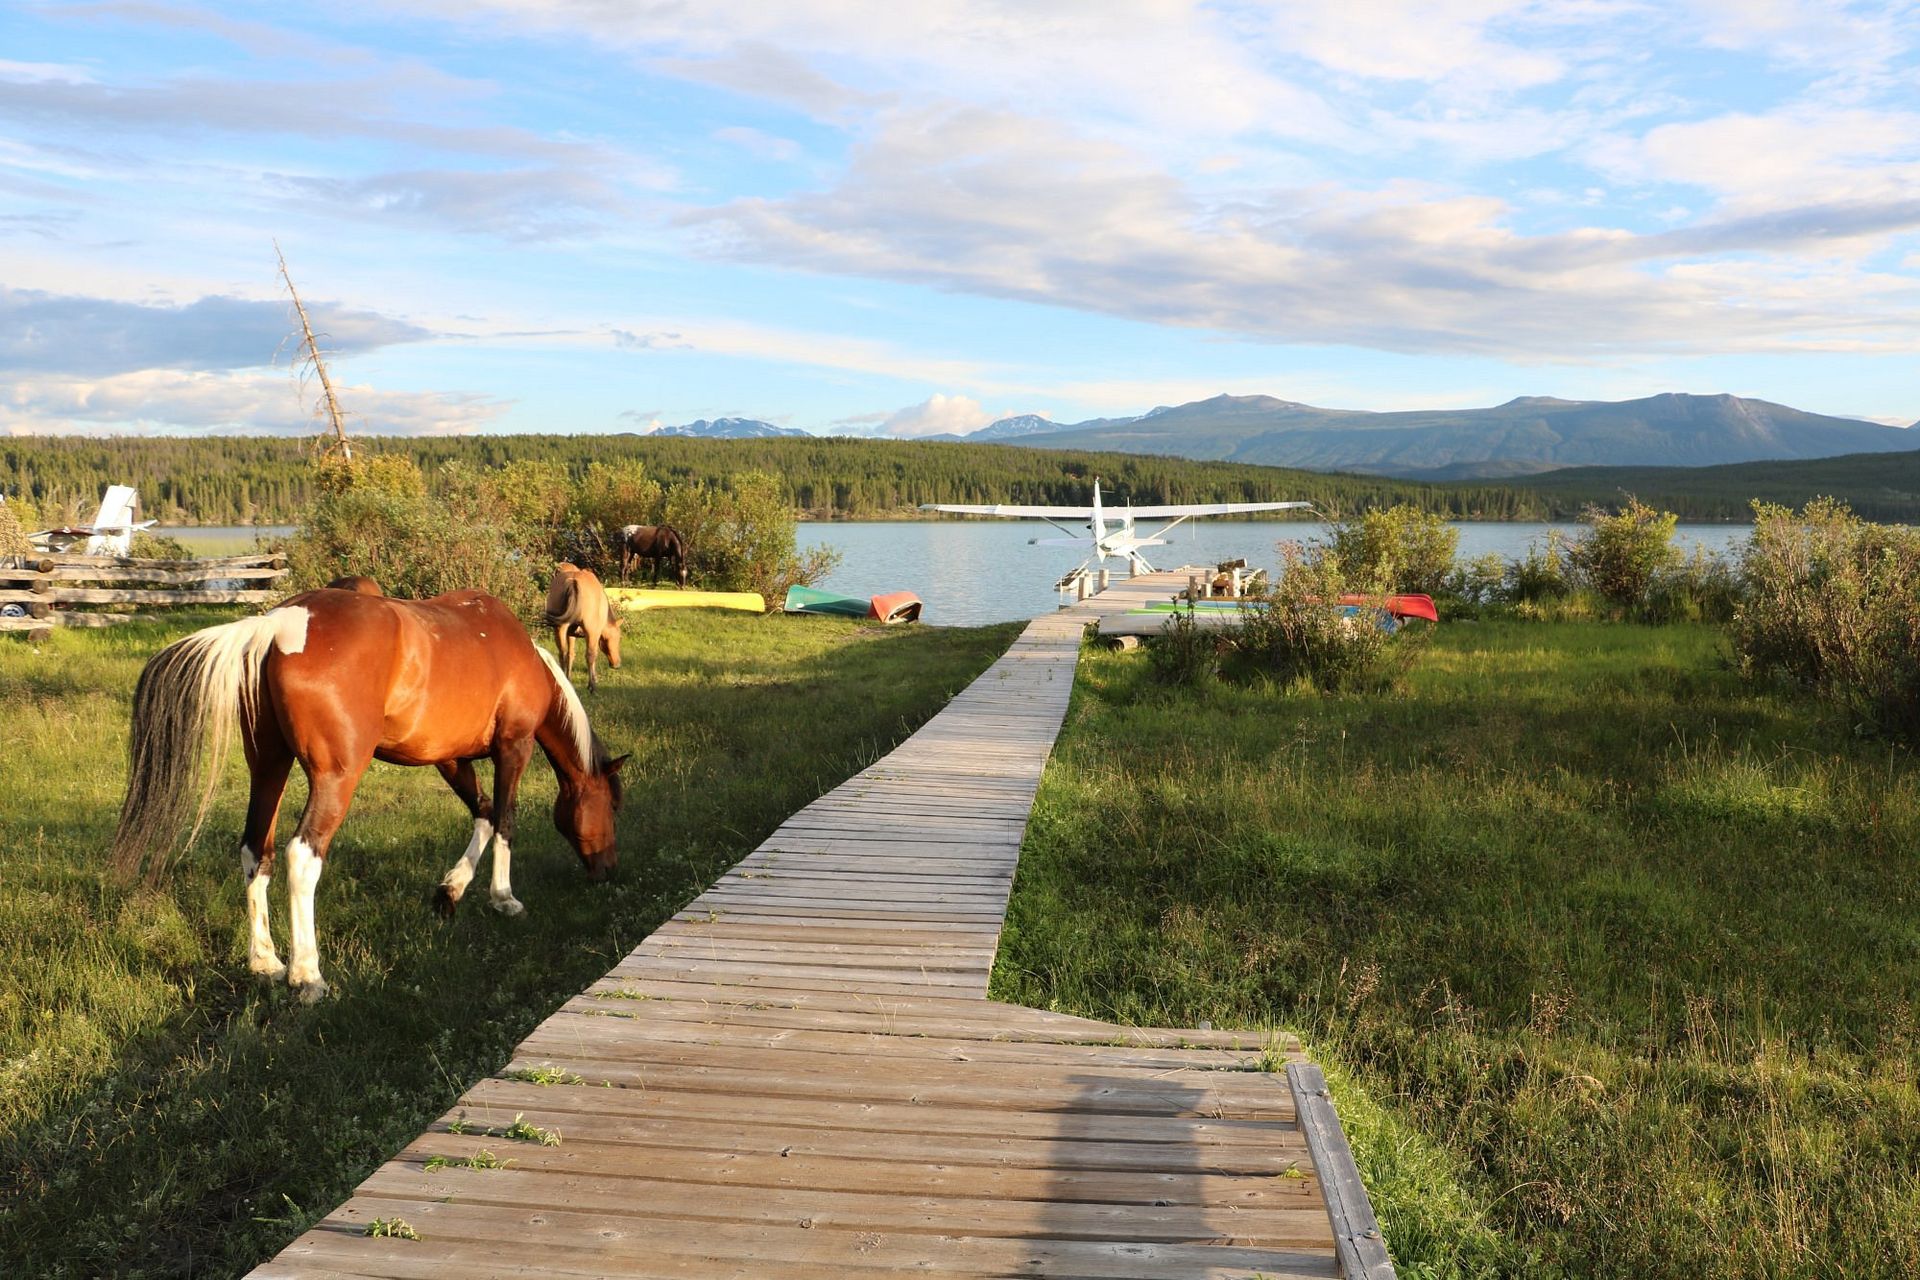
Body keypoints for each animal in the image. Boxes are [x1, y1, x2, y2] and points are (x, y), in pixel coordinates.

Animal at [111, 586, 629, 1003]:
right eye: (611, 805)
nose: (608, 869)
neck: (519, 654)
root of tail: (279, 625)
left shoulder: (449, 758)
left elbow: (482, 813)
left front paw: (450, 891)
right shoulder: (513, 747)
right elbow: (505, 820)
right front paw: (503, 898)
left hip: (269, 767)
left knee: (256, 850)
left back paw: (266, 963)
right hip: (335, 778)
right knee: (302, 856)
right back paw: (307, 975)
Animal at [544, 562, 621, 691]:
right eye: (618, 638)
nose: (617, 664)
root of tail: (573, 581)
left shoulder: (571, 633)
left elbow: (571, 654)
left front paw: (569, 677)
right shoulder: (594, 633)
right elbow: (593, 654)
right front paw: (594, 679)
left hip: (560, 627)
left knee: (562, 653)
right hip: (589, 629)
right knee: (590, 655)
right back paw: (592, 686)